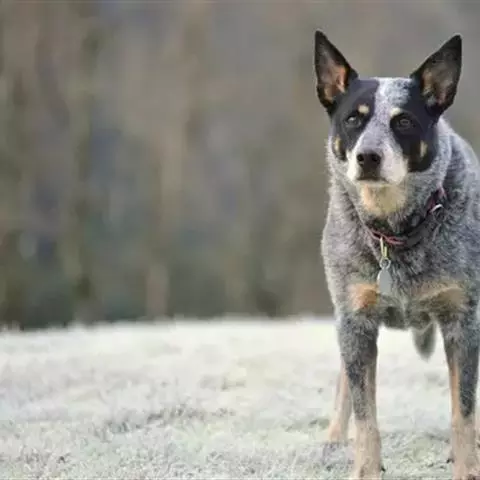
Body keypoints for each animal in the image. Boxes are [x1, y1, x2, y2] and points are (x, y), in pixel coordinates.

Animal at [315, 31, 480, 480]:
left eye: (403, 121)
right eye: (353, 119)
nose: (368, 157)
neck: (395, 232)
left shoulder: (462, 320)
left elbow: (463, 410)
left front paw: (467, 467)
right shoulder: (355, 320)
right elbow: (365, 413)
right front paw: (366, 468)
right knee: (344, 381)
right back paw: (334, 437)